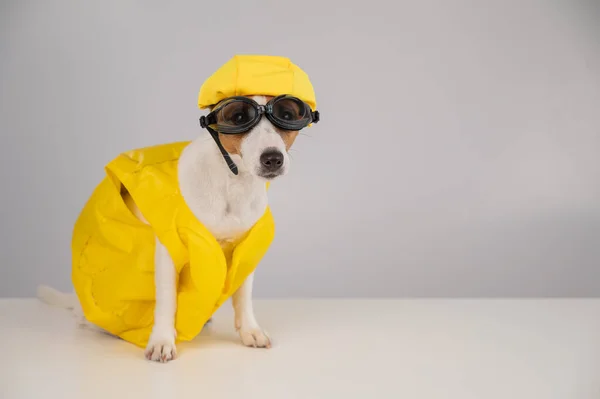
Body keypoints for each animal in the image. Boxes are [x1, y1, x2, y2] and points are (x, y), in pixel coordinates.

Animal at [37, 95, 302, 364]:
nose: (272, 158)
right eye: (239, 118)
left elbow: (243, 296)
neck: (232, 183)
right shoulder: (167, 251)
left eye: (287, 116)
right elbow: (167, 300)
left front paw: (250, 330)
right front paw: (162, 341)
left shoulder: (245, 249)